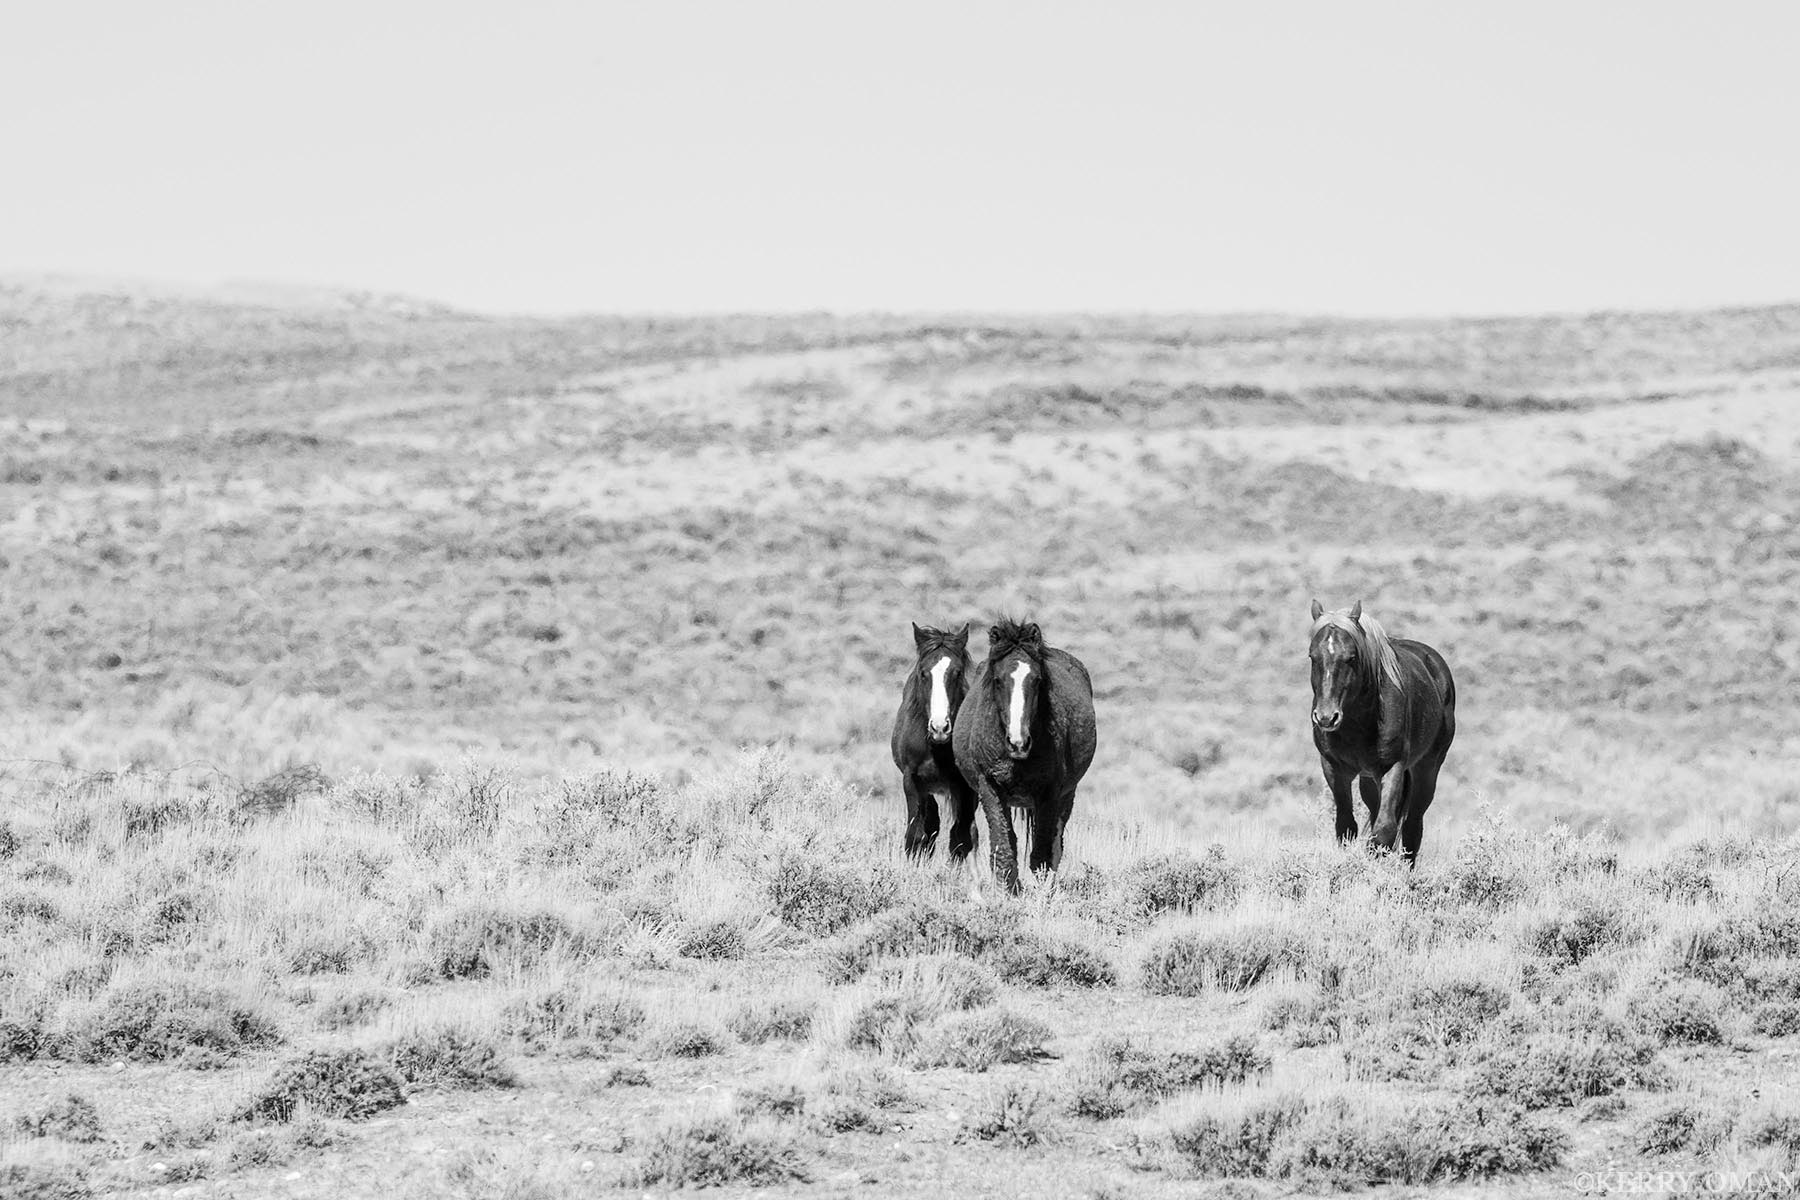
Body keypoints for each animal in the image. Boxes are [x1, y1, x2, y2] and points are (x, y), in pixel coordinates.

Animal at [890, 622, 979, 862]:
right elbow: (915, 835)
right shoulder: (912, 781)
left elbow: (961, 839)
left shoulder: (965, 786)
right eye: (923, 673)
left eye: (958, 672)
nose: (940, 728)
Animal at [952, 619, 1097, 893]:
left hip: (1066, 796)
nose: (1018, 742)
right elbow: (1003, 850)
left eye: (1037, 680)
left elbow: (1042, 856)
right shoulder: (990, 788)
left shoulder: (1050, 793)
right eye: (998, 680)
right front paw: (1007, 895)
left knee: (1055, 844)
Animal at [1308, 599, 1456, 864]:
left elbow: (1385, 831)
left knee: (1412, 827)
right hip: (1369, 779)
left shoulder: (1393, 767)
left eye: (1351, 657)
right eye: (1312, 656)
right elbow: (1346, 826)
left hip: (1426, 769)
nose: (1326, 717)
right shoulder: (1334, 768)